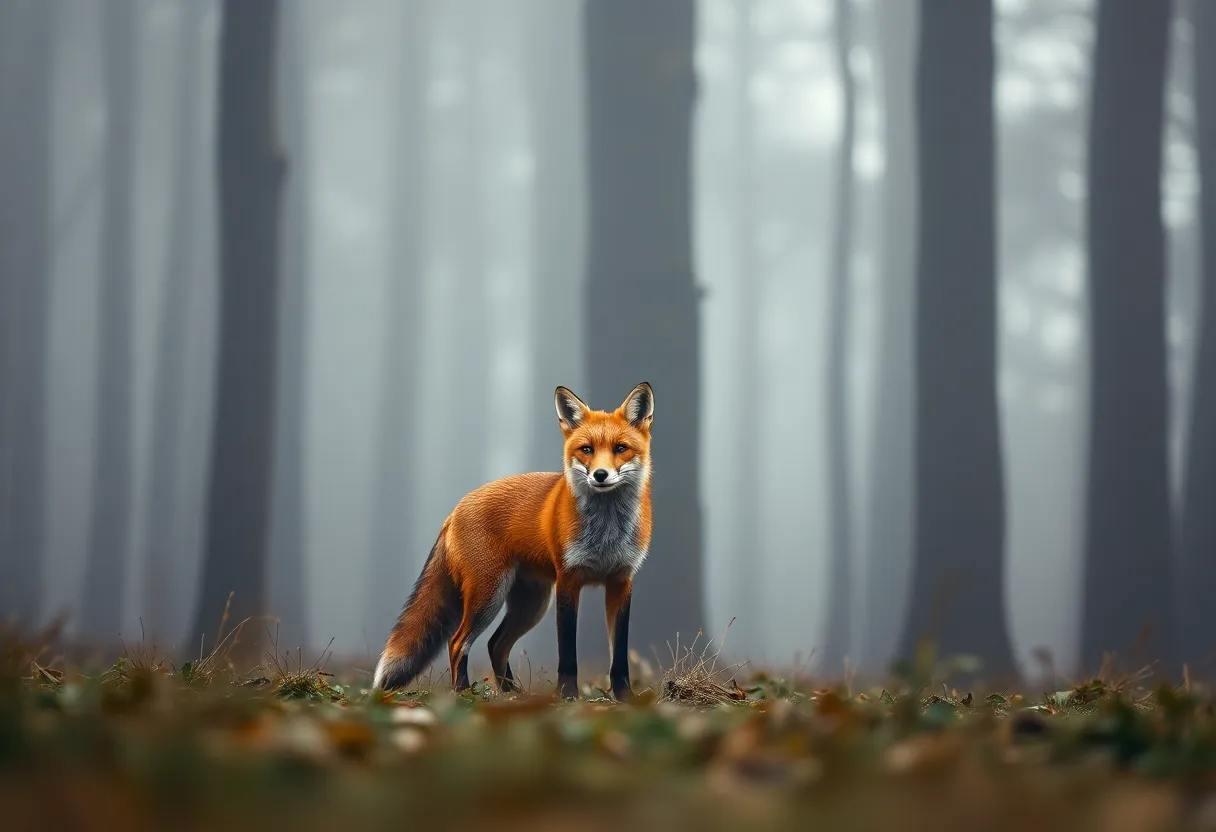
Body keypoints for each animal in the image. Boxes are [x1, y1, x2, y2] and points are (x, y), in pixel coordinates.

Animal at [371, 382, 655, 701]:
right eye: (587, 450)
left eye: (620, 448)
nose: (601, 475)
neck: (606, 533)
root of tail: (455, 510)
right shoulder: (568, 580)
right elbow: (567, 652)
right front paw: (568, 696)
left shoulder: (621, 581)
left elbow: (619, 655)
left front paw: (624, 697)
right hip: (489, 594)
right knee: (458, 642)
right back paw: (464, 693)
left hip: (530, 604)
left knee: (495, 644)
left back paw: (512, 694)